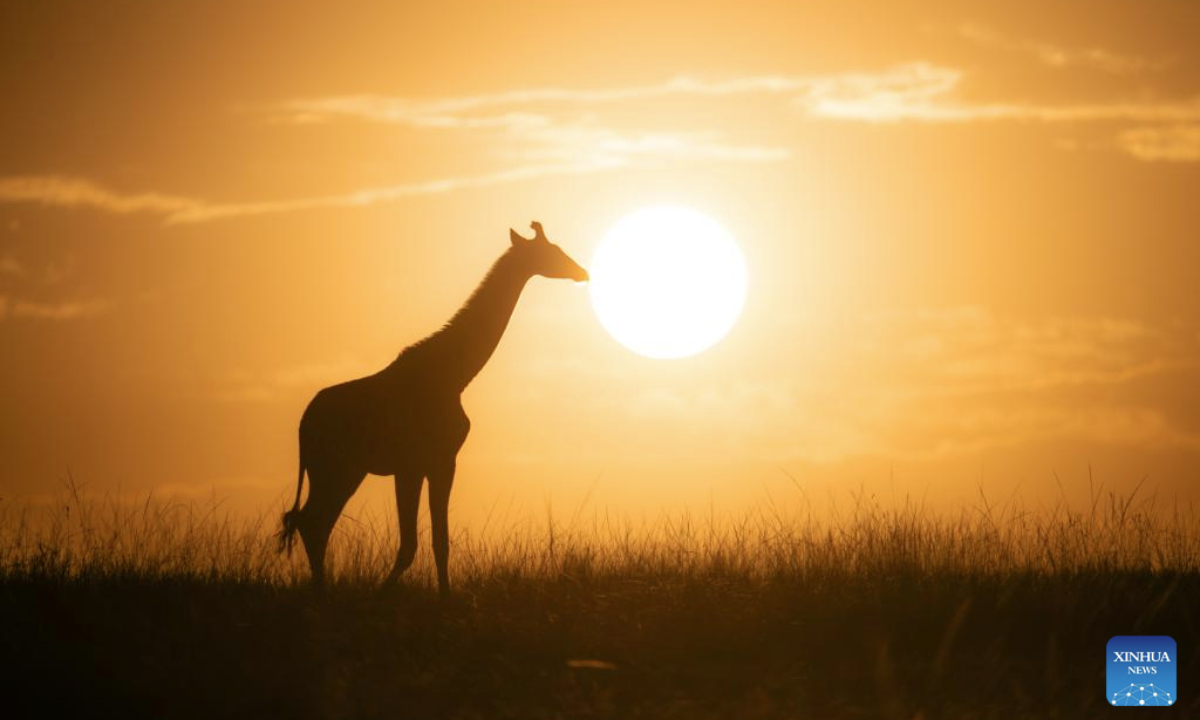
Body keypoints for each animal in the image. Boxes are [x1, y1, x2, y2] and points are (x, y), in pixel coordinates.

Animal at [277, 221, 588, 591]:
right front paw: (401, 593)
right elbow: (417, 543)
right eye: (551, 251)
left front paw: (439, 594)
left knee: (311, 521)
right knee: (312, 521)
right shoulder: (424, 462)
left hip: (342, 469)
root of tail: (303, 423)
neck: (455, 375)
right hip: (334, 467)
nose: (582, 272)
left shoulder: (430, 463)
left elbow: (437, 540)